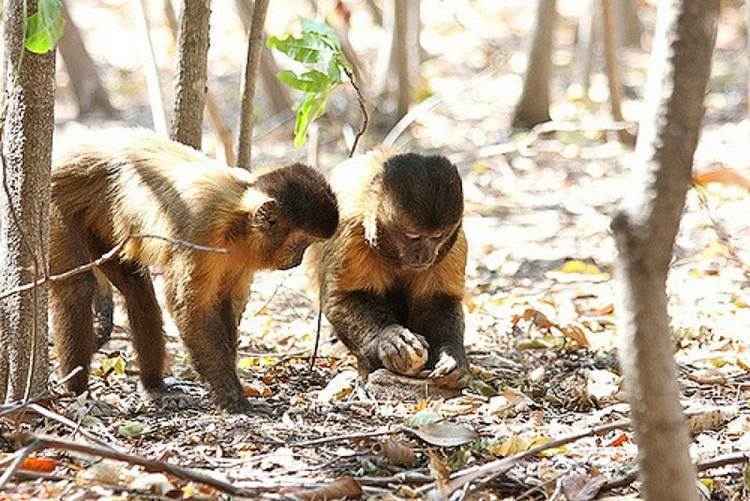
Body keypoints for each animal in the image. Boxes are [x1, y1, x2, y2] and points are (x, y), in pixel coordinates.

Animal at [49, 129, 338, 414]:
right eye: (300, 243)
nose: (298, 259)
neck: (237, 219)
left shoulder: (242, 255)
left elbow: (222, 303)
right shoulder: (200, 230)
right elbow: (191, 309)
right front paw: (234, 399)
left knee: (138, 293)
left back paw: (153, 386)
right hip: (56, 198)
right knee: (77, 289)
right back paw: (78, 393)